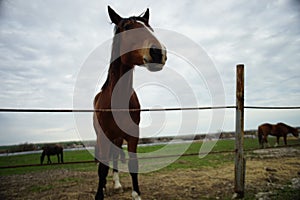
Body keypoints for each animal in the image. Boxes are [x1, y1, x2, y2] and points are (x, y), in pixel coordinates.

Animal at [94, 5, 166, 200]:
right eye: (126, 27)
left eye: (150, 28)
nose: (158, 52)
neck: (117, 101)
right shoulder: (104, 136)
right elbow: (102, 168)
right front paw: (99, 193)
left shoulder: (133, 136)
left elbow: (133, 164)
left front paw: (136, 194)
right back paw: (106, 186)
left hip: (117, 139)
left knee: (115, 158)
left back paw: (117, 185)